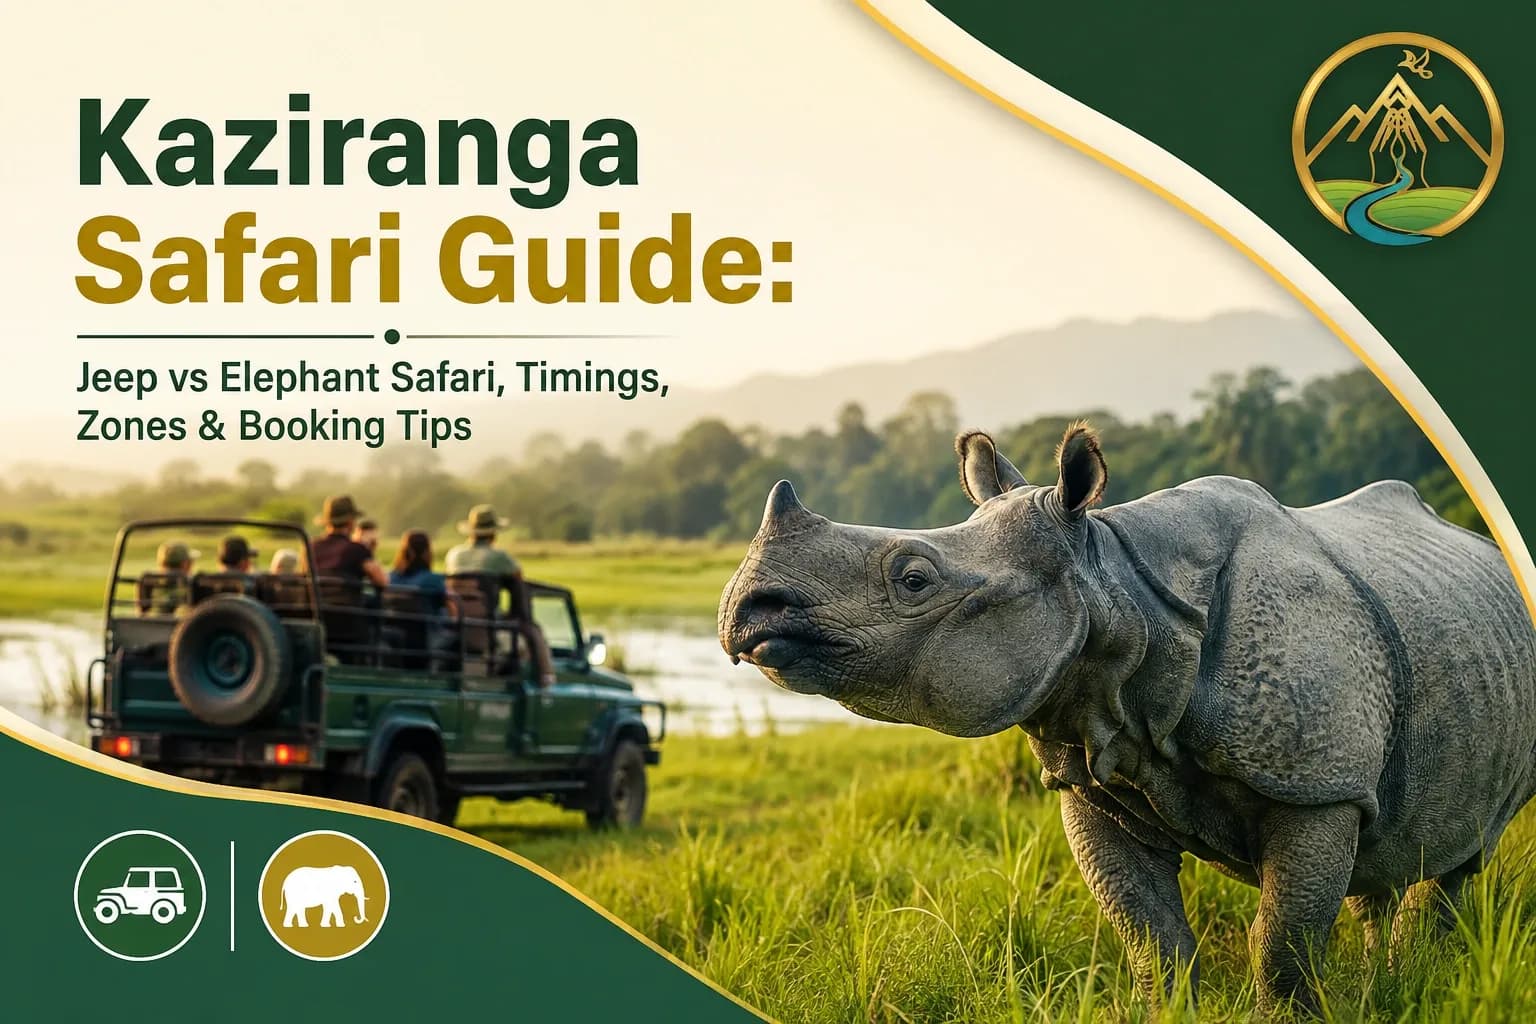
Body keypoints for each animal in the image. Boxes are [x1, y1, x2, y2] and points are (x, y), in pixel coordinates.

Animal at [717, 423, 1536, 1013]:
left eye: (913, 578)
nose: (745, 610)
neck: (1120, 594)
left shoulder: (1316, 786)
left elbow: (1283, 939)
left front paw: (1288, 1016)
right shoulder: (1090, 771)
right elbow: (1149, 934)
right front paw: (1171, 1010)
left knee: (1455, 853)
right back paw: (1385, 990)